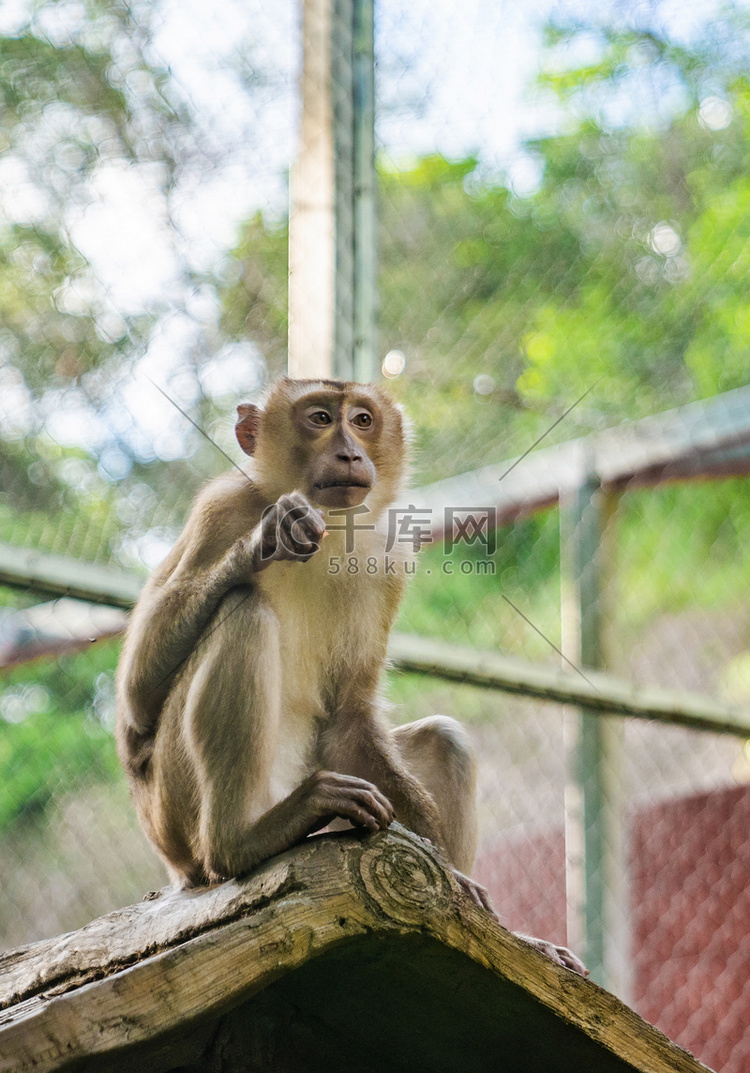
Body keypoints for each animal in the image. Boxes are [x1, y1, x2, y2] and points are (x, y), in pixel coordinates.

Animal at [117, 379, 587, 982]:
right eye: (320, 417)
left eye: (362, 420)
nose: (348, 453)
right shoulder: (219, 509)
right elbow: (135, 706)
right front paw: (266, 538)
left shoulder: (388, 560)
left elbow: (349, 716)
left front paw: (472, 899)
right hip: (173, 813)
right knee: (244, 613)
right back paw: (240, 842)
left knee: (443, 740)